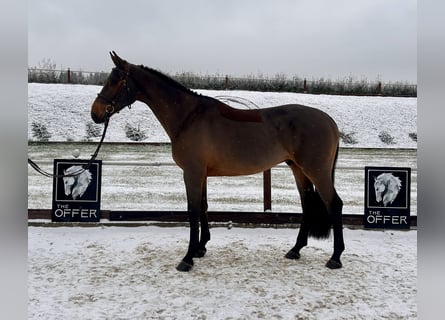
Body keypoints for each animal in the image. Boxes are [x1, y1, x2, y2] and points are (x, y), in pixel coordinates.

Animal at [91, 51, 344, 272]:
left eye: (116, 80)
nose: (96, 113)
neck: (188, 117)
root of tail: (329, 121)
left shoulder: (192, 173)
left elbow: (193, 210)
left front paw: (187, 258)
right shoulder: (201, 174)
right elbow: (203, 207)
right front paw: (200, 248)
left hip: (316, 170)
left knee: (334, 204)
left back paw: (335, 257)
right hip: (299, 169)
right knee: (307, 205)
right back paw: (295, 249)